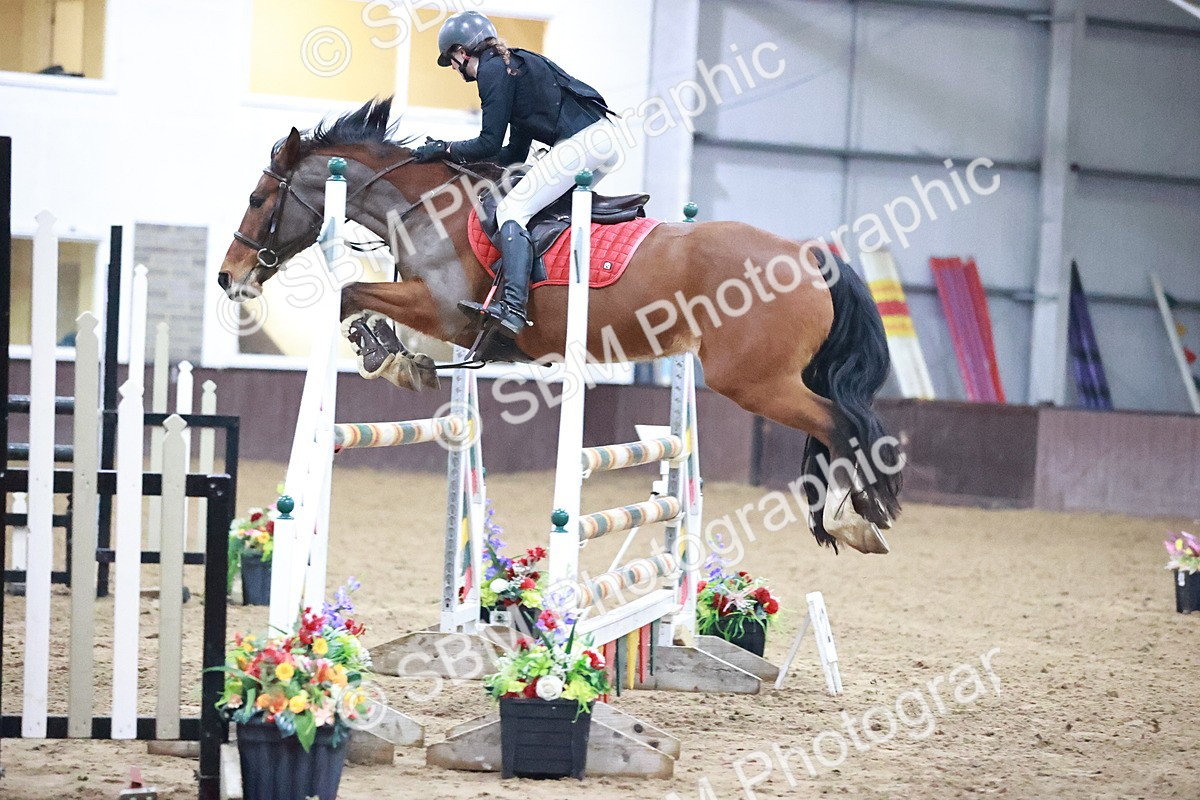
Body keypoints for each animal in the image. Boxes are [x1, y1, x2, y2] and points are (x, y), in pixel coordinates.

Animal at [217, 98, 902, 555]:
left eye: (256, 199)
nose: (230, 277)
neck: (425, 209)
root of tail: (809, 256)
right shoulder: (445, 320)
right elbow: (368, 307)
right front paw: (401, 360)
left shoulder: (444, 308)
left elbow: (349, 295)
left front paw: (378, 351)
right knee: (841, 425)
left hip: (753, 381)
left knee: (842, 424)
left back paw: (856, 517)